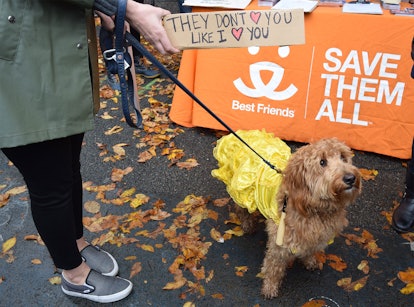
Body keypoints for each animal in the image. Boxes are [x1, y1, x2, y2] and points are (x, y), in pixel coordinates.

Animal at [236, 139, 362, 298]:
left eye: (343, 157)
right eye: (322, 162)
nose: (350, 178)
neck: (314, 209)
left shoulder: (314, 237)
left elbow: (309, 250)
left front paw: (310, 261)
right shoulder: (279, 243)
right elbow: (273, 267)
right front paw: (270, 287)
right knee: (240, 208)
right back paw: (247, 224)